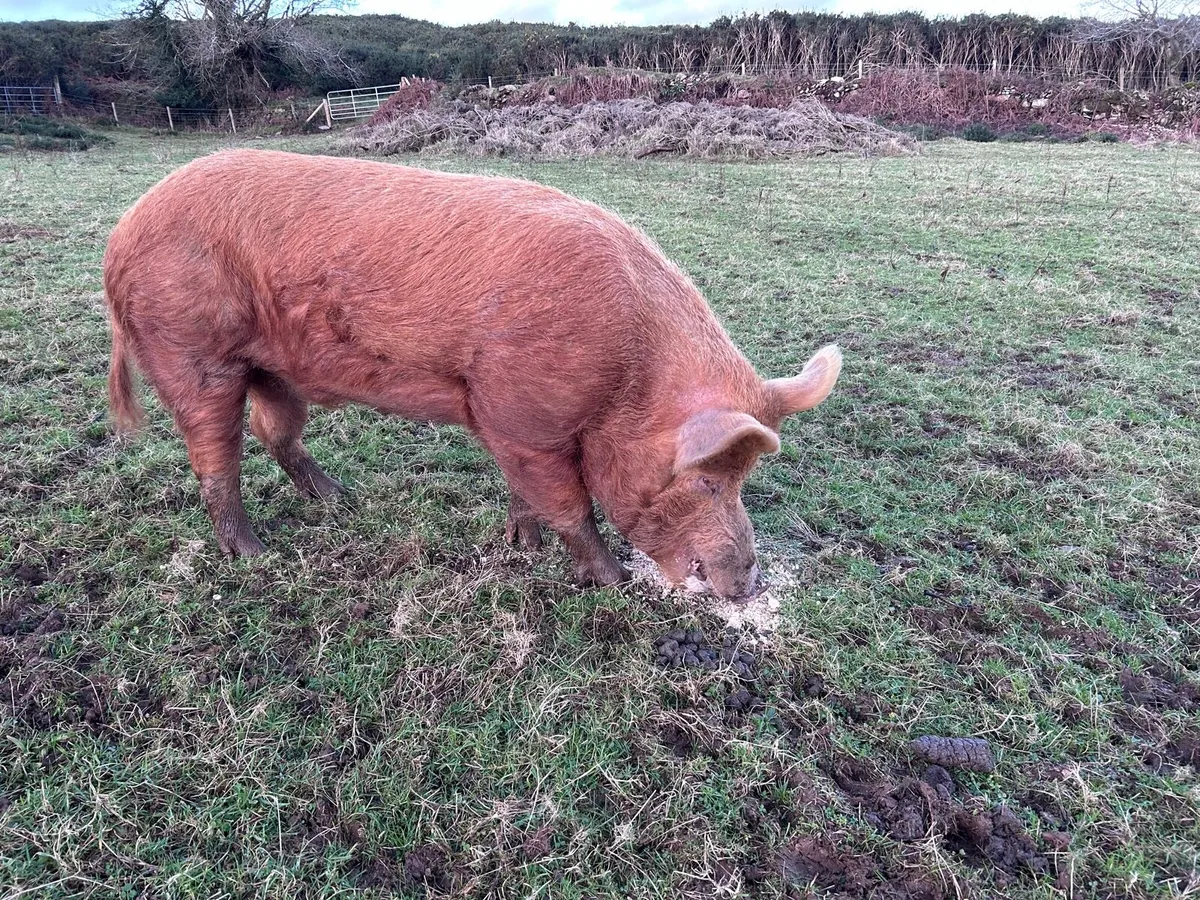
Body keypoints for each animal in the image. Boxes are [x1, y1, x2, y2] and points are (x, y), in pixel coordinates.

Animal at [104, 149, 841, 600]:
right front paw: (611, 581)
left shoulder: (509, 420)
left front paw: (522, 543)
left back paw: (342, 499)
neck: (629, 377)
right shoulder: (525, 412)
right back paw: (256, 555)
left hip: (274, 370)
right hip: (191, 351)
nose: (746, 582)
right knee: (216, 457)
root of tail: (121, 234)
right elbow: (571, 503)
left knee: (273, 431)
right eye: (709, 480)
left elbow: (528, 489)